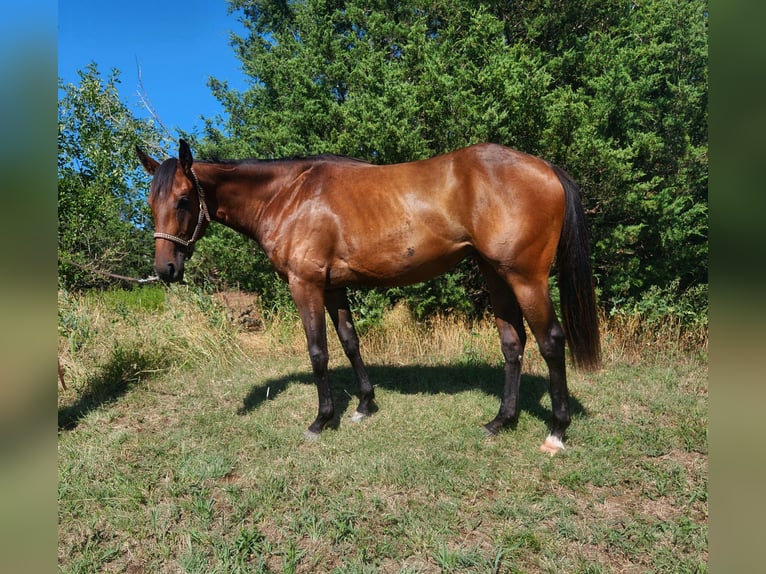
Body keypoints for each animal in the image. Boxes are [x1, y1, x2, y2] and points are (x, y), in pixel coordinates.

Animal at [140, 140, 608, 454]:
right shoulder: (333, 286)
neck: (289, 195)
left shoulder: (305, 284)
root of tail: (545, 168)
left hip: (525, 278)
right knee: (513, 343)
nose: (166, 270)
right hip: (496, 275)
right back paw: (500, 421)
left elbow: (318, 352)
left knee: (550, 341)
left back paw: (556, 431)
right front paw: (364, 405)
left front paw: (321, 420)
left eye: (183, 200)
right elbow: (350, 342)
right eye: (150, 202)